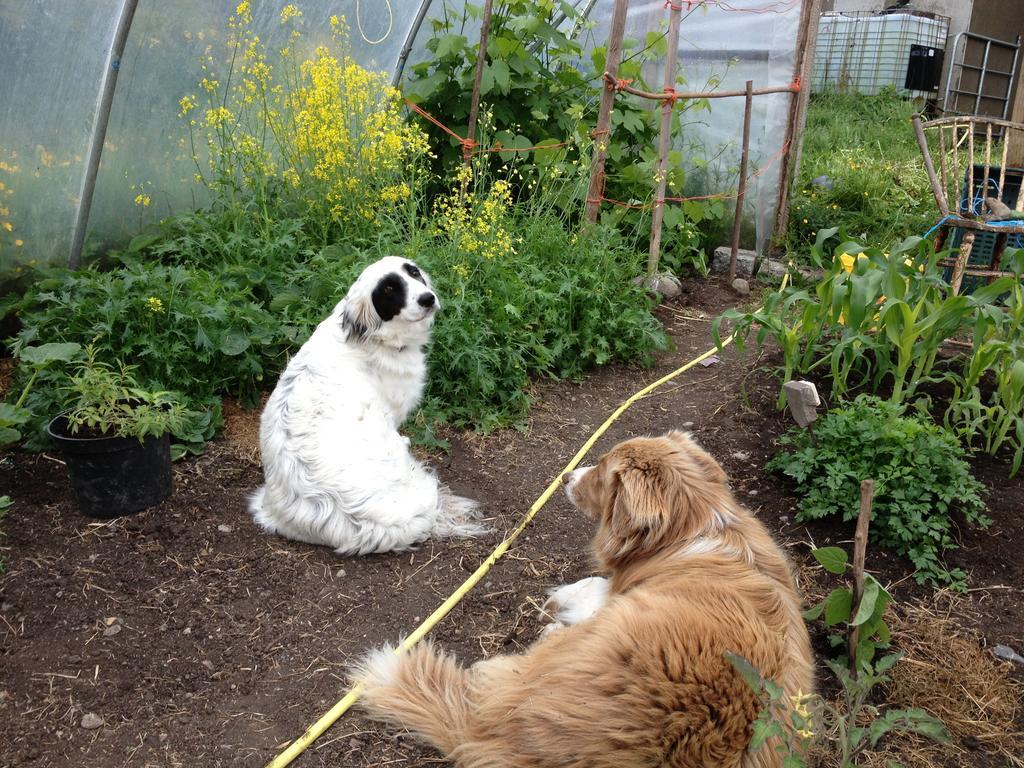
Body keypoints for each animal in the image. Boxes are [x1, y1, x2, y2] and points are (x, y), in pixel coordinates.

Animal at [356, 434, 811, 768]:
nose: (566, 477)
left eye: (601, 473)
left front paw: (563, 598)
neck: (694, 524)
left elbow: (592, 586)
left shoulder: (615, 595)